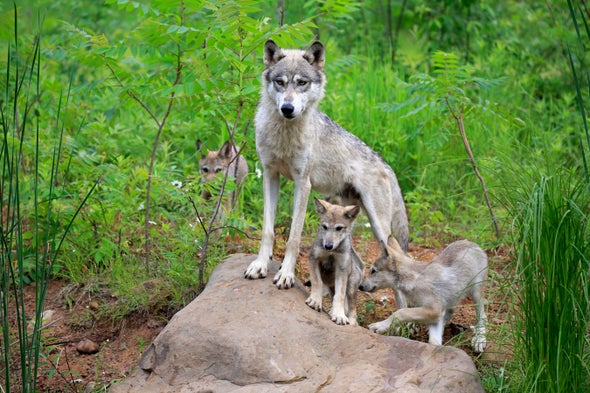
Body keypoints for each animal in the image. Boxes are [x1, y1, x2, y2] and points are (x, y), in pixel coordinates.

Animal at [243, 39, 410, 290]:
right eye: (280, 82)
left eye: (302, 83)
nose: (287, 109)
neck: (285, 134)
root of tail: (387, 166)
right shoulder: (270, 175)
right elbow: (267, 230)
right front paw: (260, 265)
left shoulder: (303, 184)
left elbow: (293, 237)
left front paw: (286, 274)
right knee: (359, 264)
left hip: (380, 227)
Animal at [360, 236, 490, 352]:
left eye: (373, 271)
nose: (360, 286)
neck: (413, 280)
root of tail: (473, 244)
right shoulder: (435, 314)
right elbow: (434, 342)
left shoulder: (434, 310)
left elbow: (400, 312)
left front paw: (380, 326)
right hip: (452, 297)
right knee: (450, 312)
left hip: (476, 293)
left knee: (482, 316)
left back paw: (479, 340)